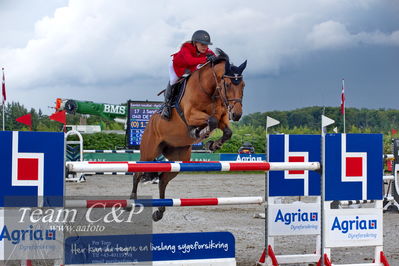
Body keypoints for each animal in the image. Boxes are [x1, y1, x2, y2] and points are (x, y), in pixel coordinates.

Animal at [131, 48, 247, 221]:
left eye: (243, 85)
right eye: (227, 84)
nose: (237, 115)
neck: (209, 89)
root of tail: (149, 123)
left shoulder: (222, 117)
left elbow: (227, 131)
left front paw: (212, 144)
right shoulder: (191, 114)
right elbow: (211, 121)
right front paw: (199, 132)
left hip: (179, 159)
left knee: (163, 180)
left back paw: (159, 212)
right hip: (148, 153)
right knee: (137, 174)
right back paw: (131, 202)